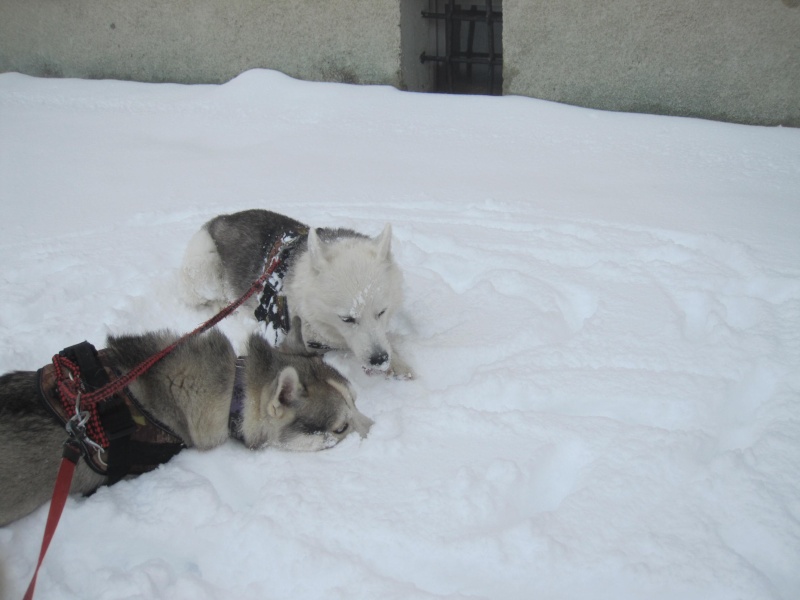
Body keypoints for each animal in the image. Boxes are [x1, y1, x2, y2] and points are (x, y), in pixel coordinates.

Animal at [180, 210, 412, 380]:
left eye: (382, 312)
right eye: (347, 319)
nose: (379, 359)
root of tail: (220, 218)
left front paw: (397, 362)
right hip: (206, 270)